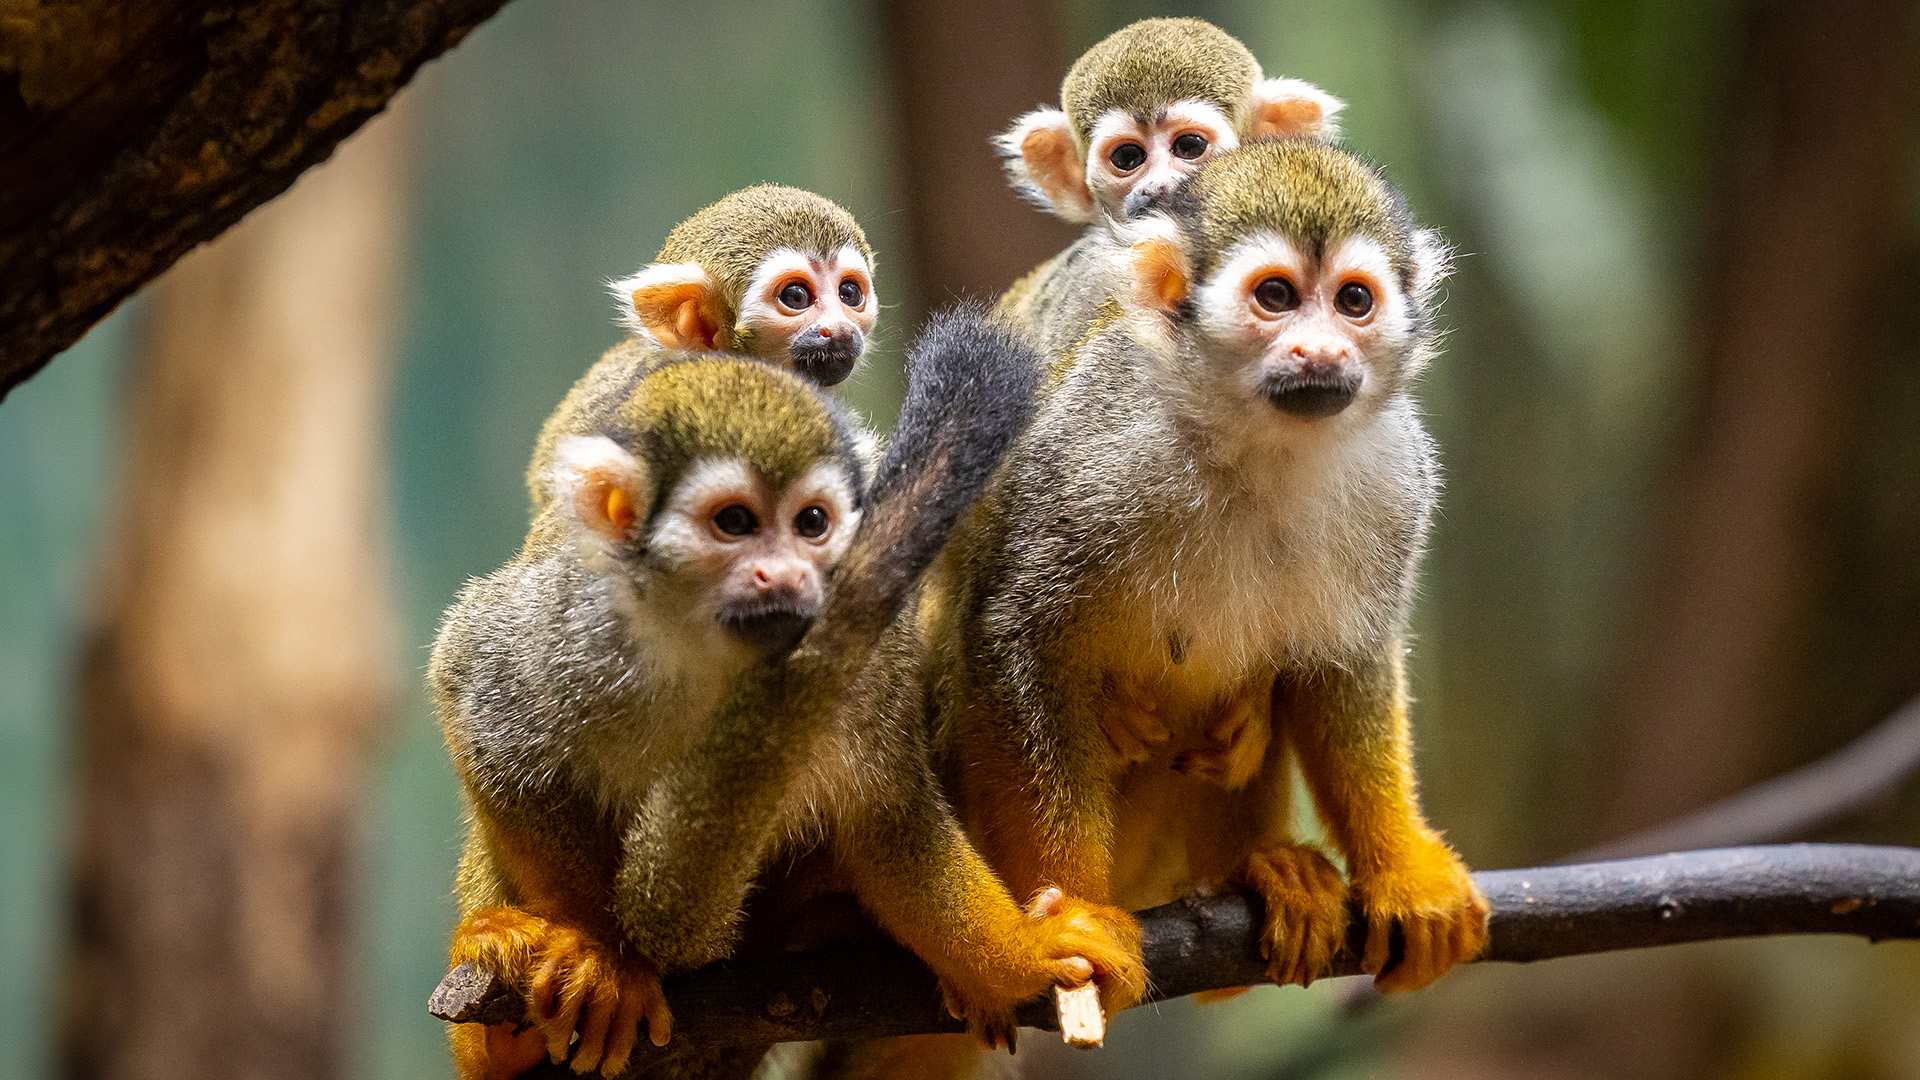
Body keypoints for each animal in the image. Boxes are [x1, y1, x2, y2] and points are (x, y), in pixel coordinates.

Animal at [435, 307, 1128, 1068]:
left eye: (811, 524)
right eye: (735, 523)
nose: (788, 576)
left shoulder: (866, 663)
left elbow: (888, 824)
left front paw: (1024, 954)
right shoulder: (576, 622)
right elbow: (481, 705)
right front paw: (606, 954)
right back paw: (494, 1020)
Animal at [921, 141, 1489, 1022]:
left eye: (1354, 301)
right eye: (1277, 297)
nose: (1322, 353)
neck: (1257, 442)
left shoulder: (1397, 476)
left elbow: (1345, 664)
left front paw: (1402, 869)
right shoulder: (1094, 448)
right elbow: (1016, 633)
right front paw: (1073, 911)